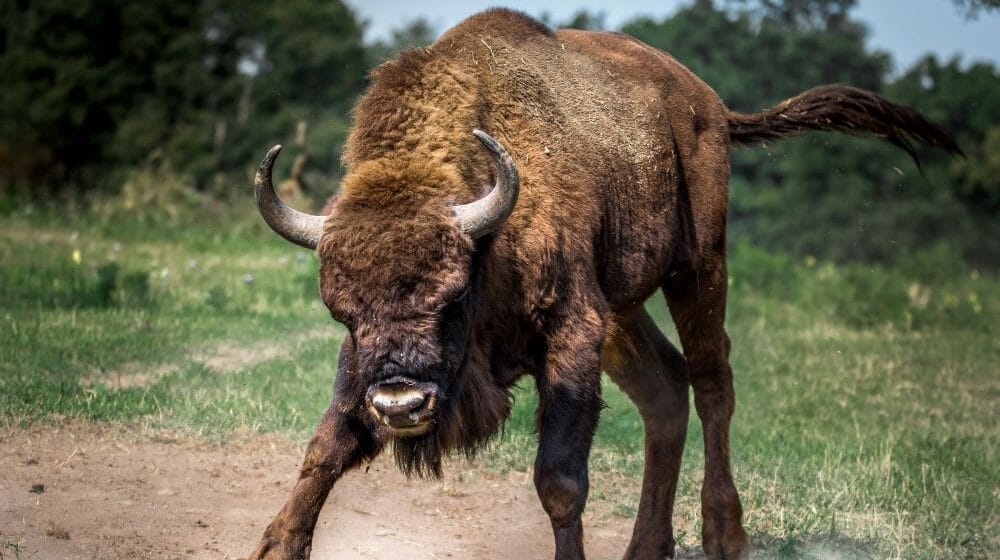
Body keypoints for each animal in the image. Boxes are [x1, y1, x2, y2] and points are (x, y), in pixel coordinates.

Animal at [246, 8, 956, 560]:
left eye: (452, 296)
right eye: (342, 312)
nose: (400, 404)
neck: (488, 230)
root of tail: (707, 104)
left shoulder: (572, 332)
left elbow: (560, 480)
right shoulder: (367, 365)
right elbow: (327, 445)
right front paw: (277, 543)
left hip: (698, 268)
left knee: (712, 383)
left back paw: (725, 535)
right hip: (622, 308)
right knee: (665, 389)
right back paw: (648, 547)